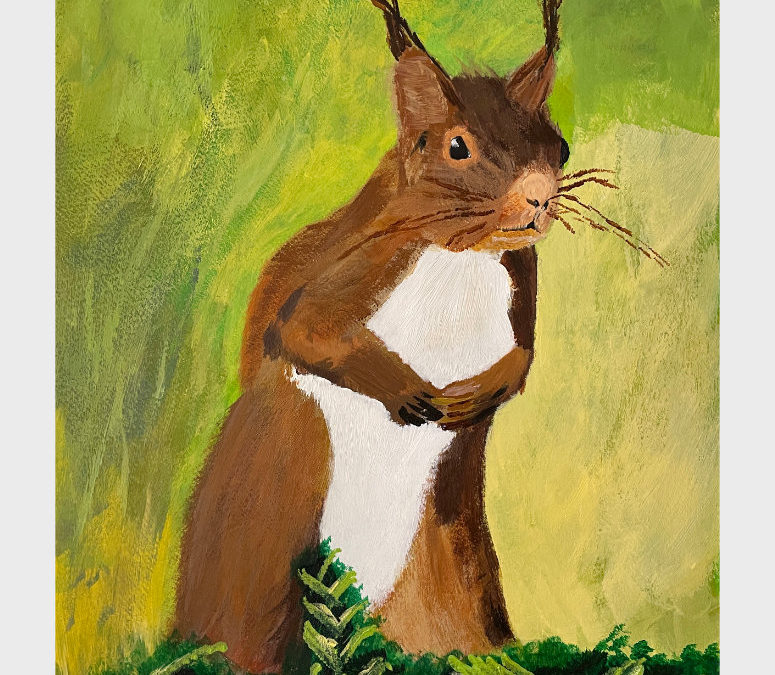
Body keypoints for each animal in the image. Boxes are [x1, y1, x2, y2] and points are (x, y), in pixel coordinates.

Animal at [176, 1, 572, 671]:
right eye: (457, 146)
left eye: (560, 147)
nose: (540, 199)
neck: (459, 256)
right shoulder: (356, 267)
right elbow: (303, 331)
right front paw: (410, 393)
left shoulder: (524, 285)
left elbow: (521, 360)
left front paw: (471, 398)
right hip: (268, 511)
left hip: (446, 562)